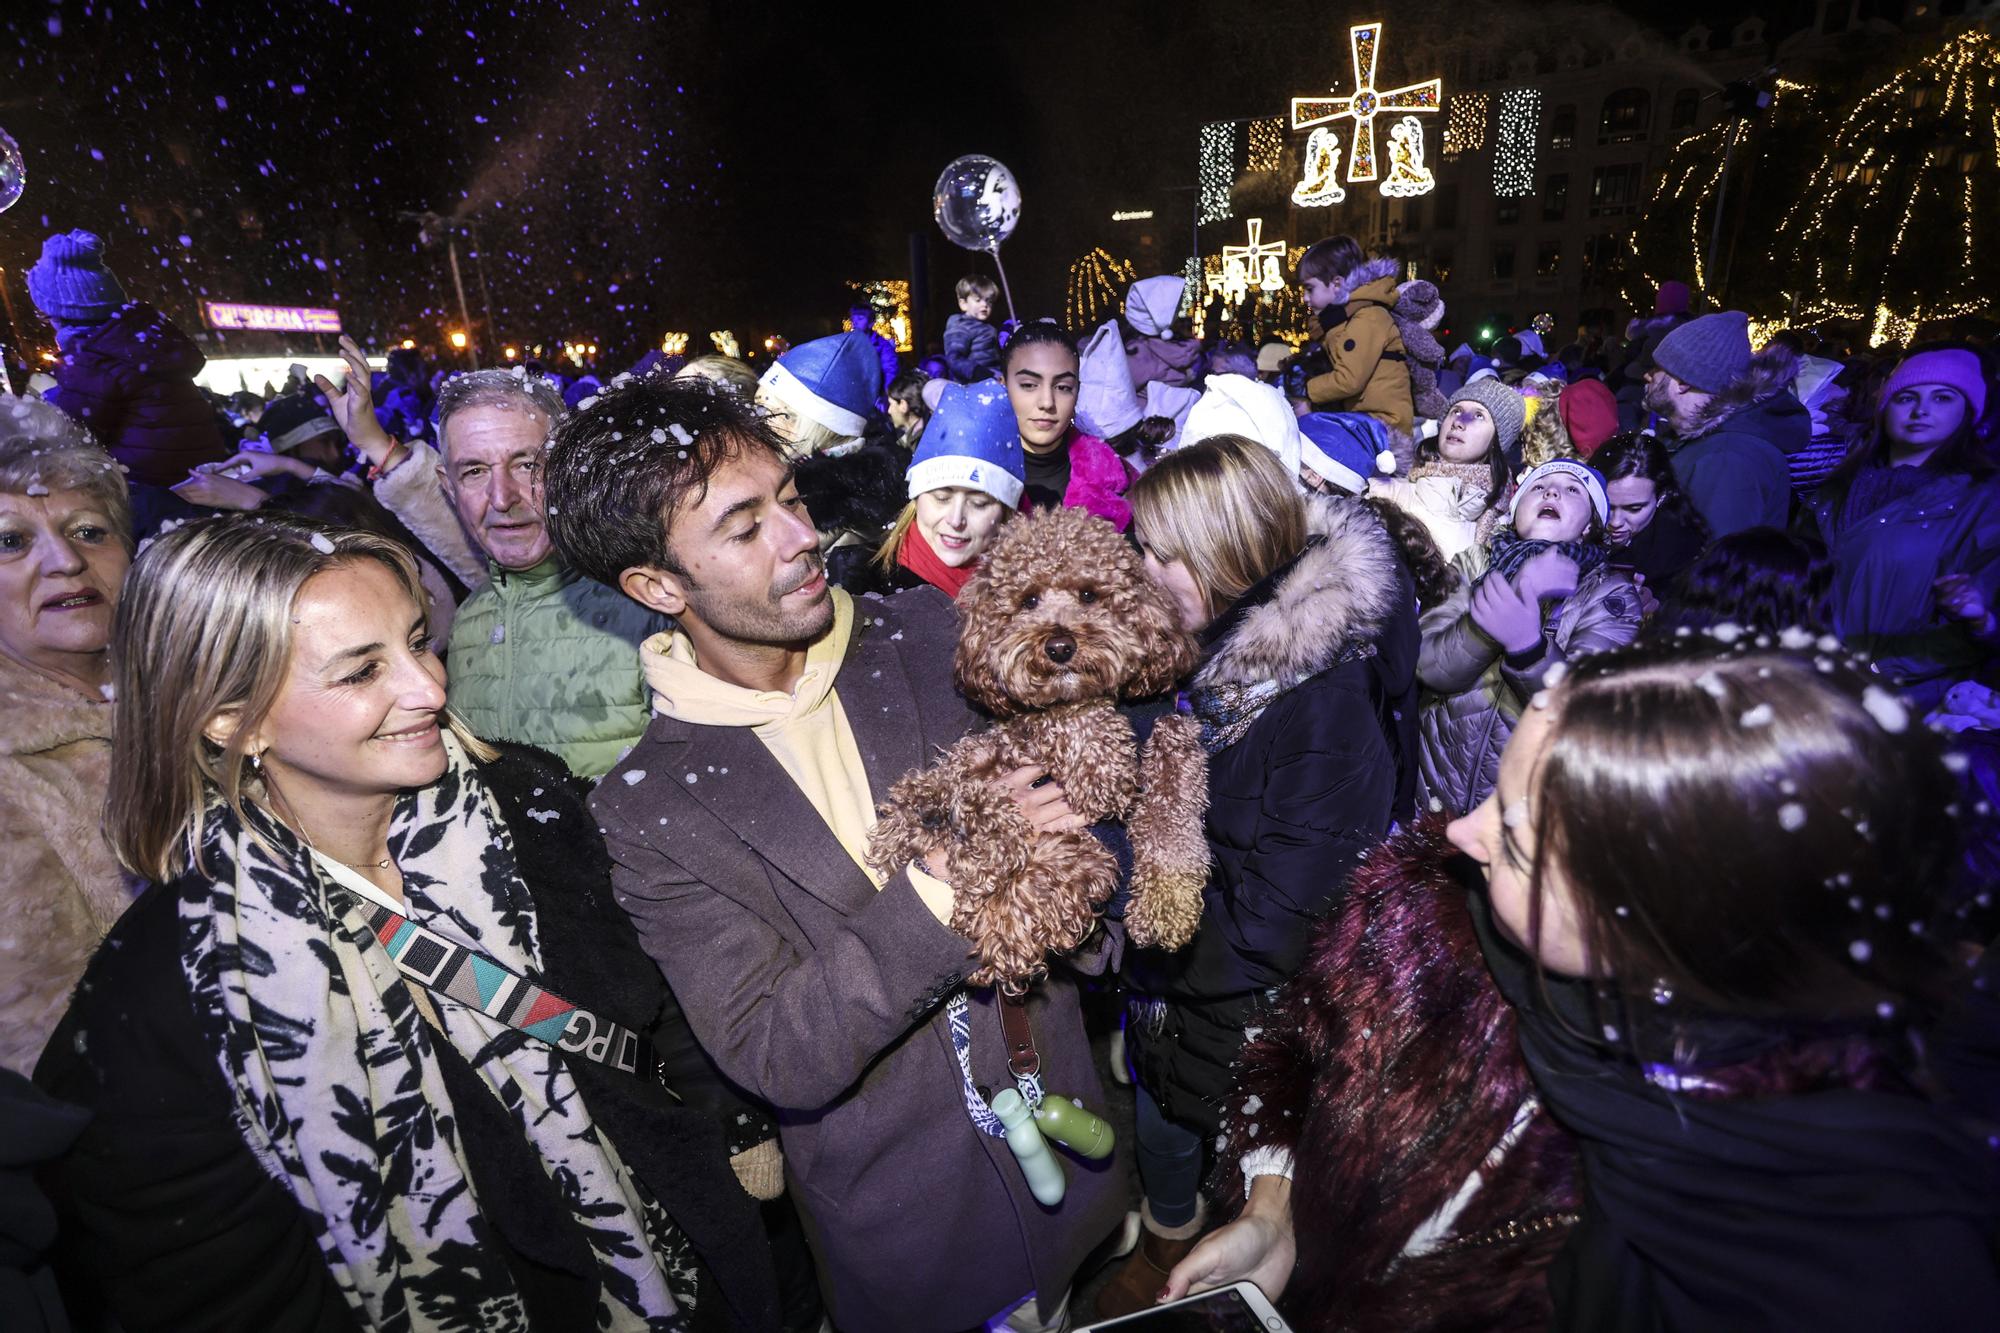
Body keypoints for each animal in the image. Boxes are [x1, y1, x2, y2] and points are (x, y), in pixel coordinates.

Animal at [868, 506, 1208, 984]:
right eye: (1028, 600)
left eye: (1089, 594)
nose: (1060, 646)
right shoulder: (1014, 732)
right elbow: (1059, 717)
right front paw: (1099, 762)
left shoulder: (1174, 751)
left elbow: (1174, 830)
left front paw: (1167, 909)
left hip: (1077, 852)